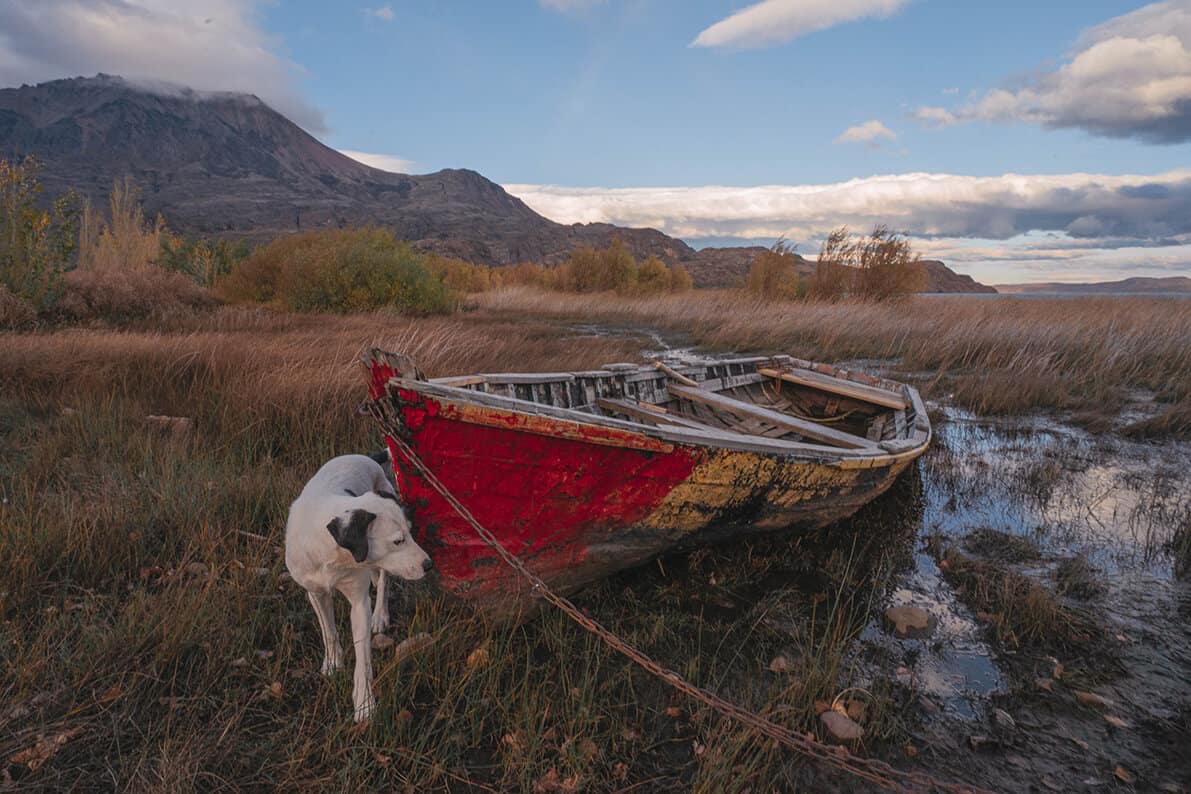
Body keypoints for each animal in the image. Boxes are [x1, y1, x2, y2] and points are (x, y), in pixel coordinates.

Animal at [283, 452, 433, 719]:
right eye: (398, 541)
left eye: (410, 533)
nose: (429, 564)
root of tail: (365, 456)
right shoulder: (315, 593)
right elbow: (329, 632)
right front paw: (333, 663)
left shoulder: (360, 603)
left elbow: (363, 659)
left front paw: (364, 704)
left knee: (383, 581)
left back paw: (380, 614)